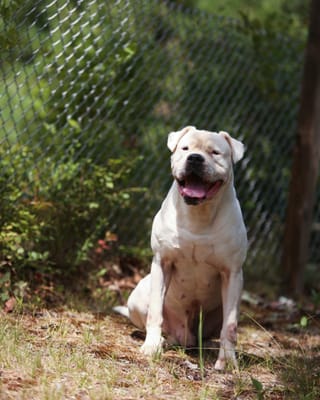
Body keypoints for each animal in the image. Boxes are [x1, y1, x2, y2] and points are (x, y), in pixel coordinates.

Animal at [117, 126, 248, 370]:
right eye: (185, 148)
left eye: (215, 152)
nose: (195, 158)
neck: (199, 214)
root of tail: (185, 338)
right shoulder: (162, 262)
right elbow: (155, 312)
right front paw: (151, 347)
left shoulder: (232, 273)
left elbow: (230, 325)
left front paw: (228, 361)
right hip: (137, 297)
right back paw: (162, 340)